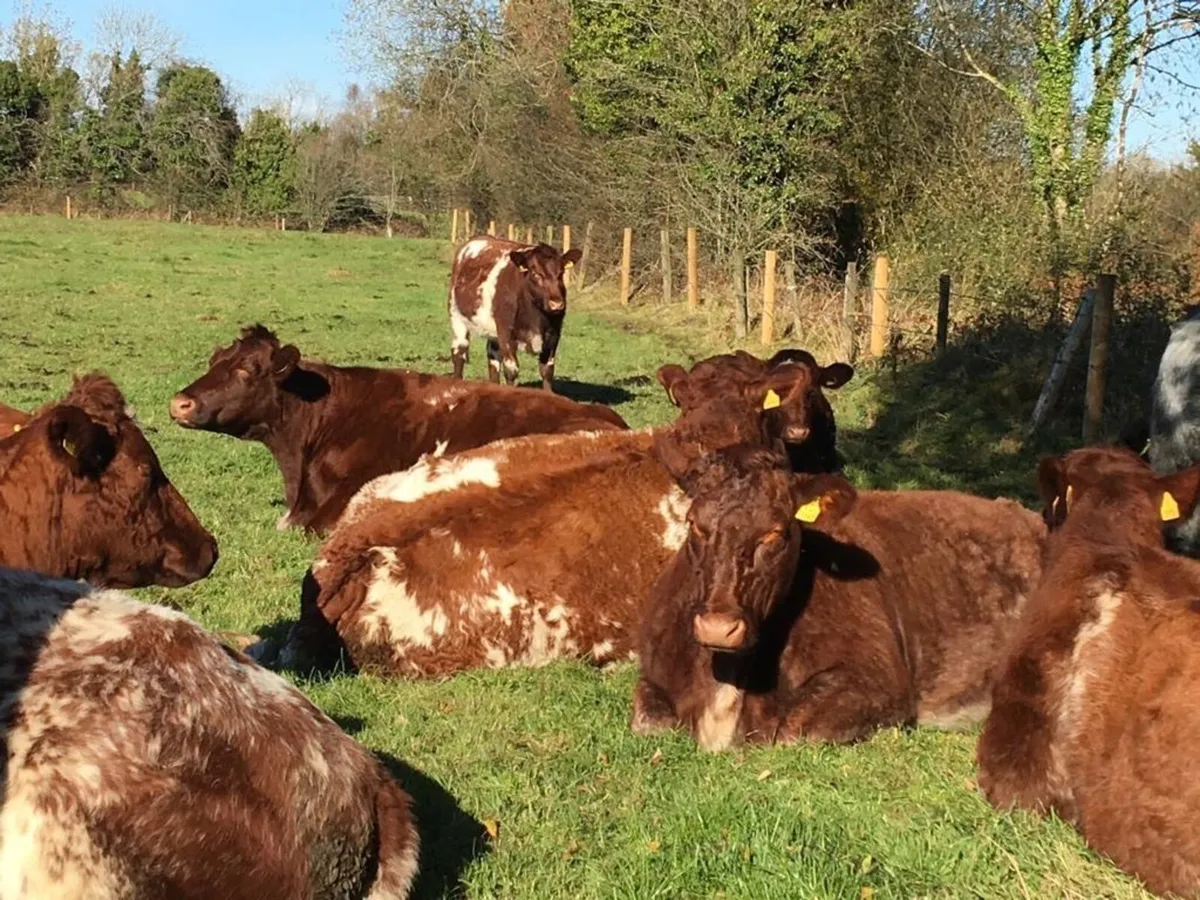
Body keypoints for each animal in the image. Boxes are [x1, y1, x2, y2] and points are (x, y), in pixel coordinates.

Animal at [449, 237, 582, 391]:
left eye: (561, 273)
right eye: (536, 274)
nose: (557, 304)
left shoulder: (554, 335)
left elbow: (547, 370)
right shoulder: (506, 333)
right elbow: (511, 371)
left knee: (493, 359)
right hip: (457, 317)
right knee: (459, 353)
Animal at [630, 436, 1045, 751]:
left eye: (776, 533)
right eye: (694, 525)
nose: (718, 627)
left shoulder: (878, 683)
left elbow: (793, 732)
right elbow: (648, 721)